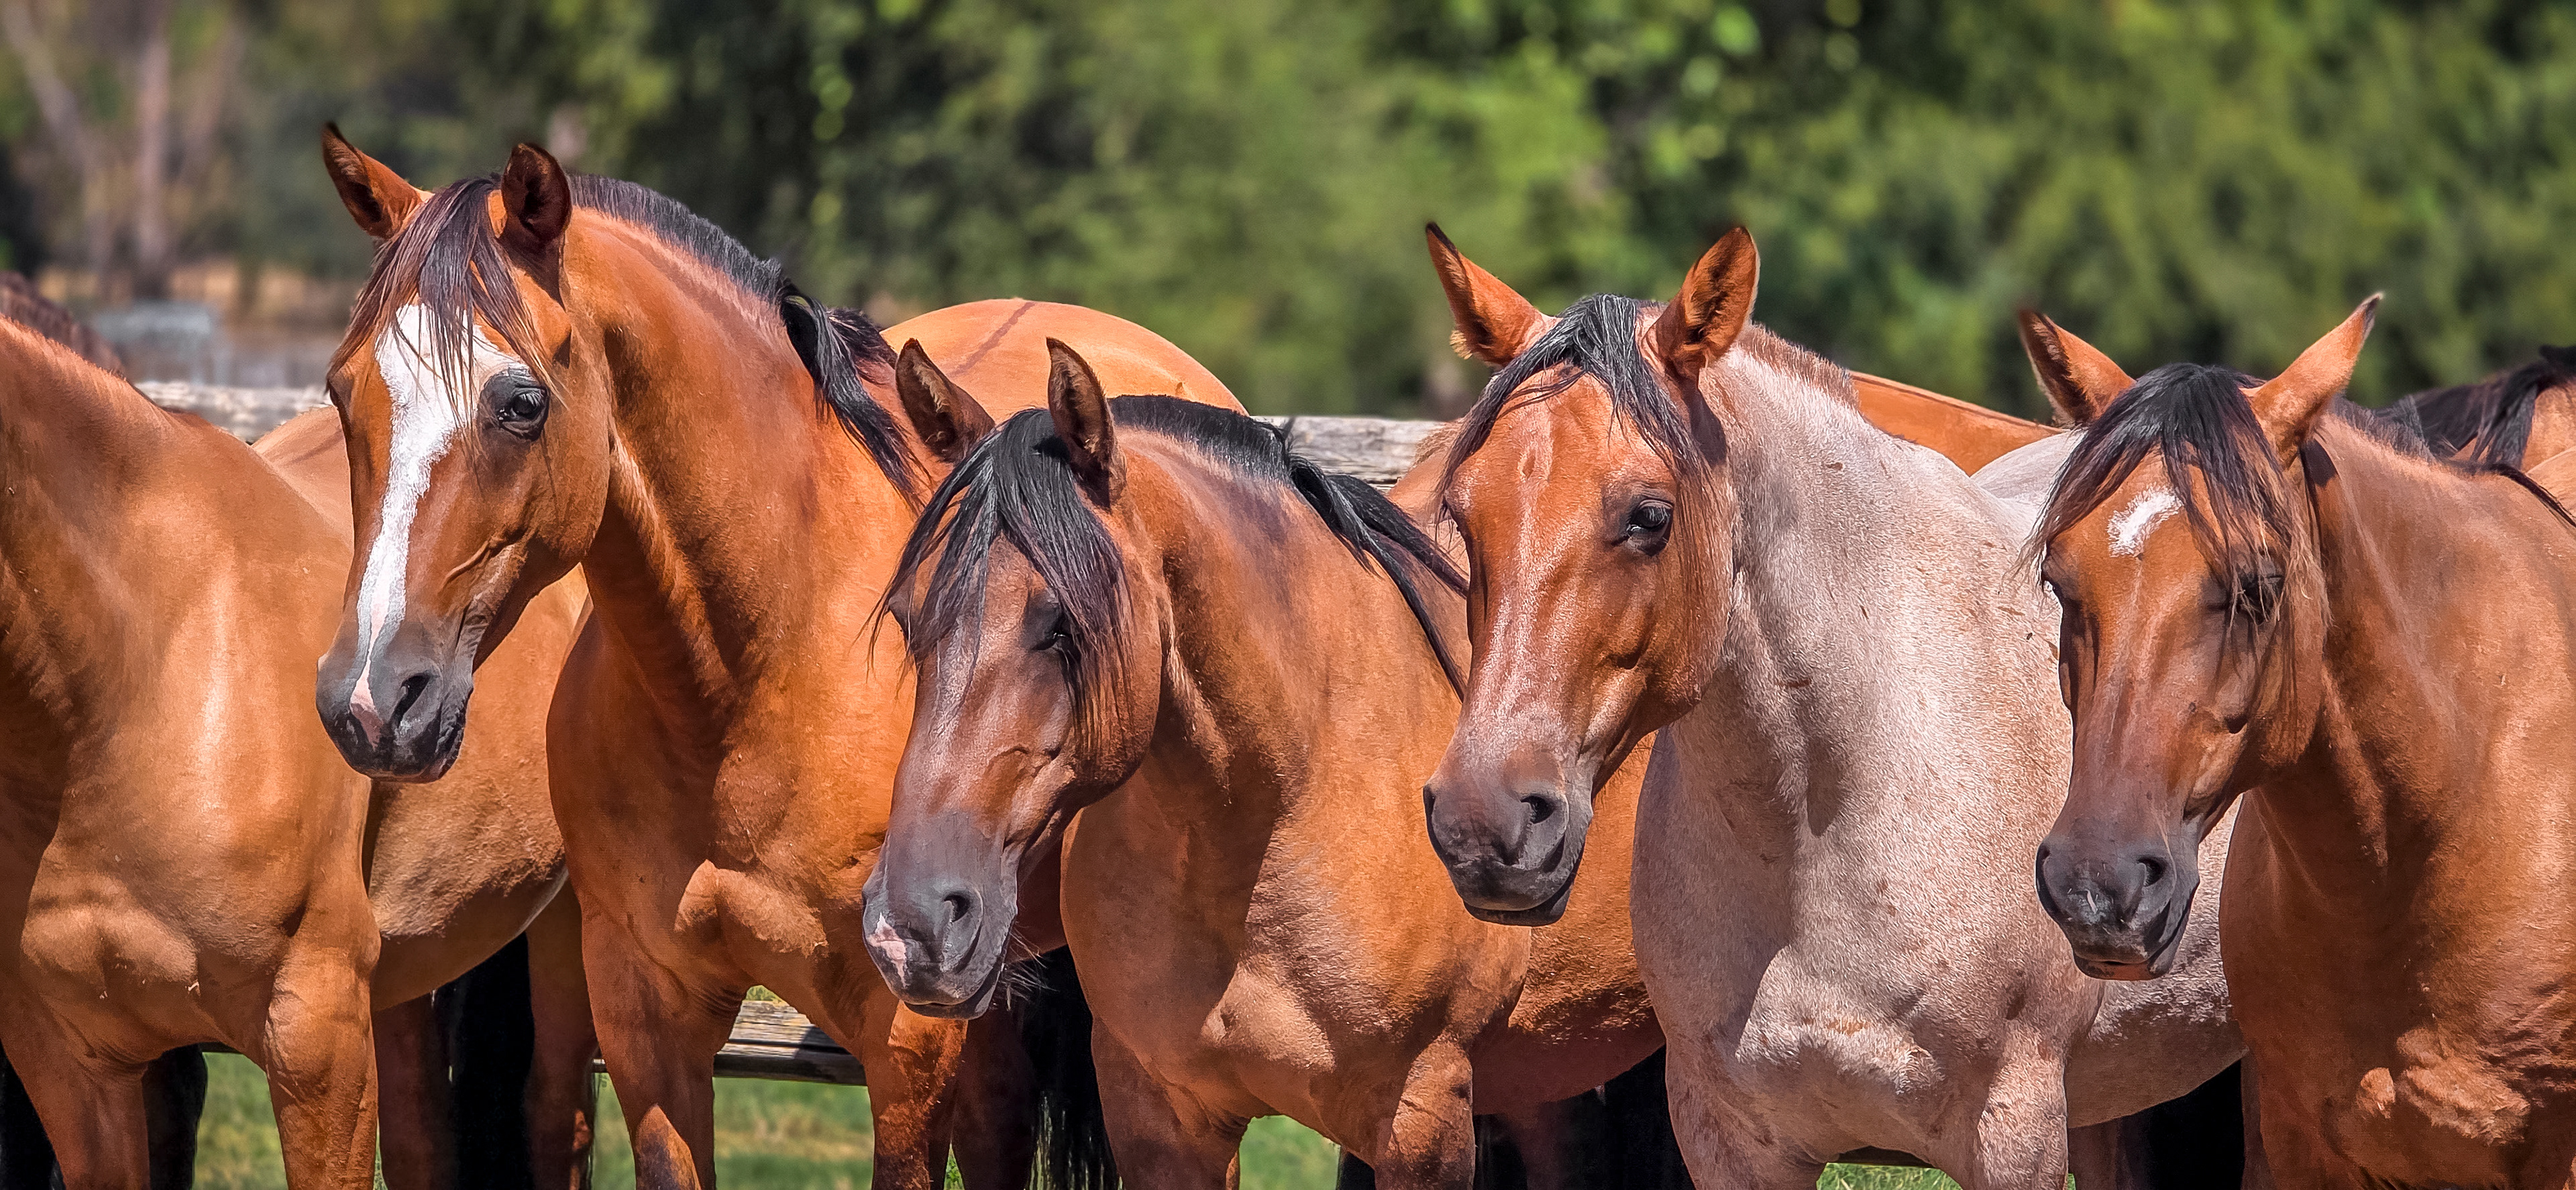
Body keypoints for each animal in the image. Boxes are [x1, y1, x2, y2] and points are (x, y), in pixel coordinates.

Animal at [313, 129, 1239, 1189]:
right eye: (344, 389)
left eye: (519, 403)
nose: (374, 700)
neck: (759, 678)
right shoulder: (646, 1011)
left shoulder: (905, 1037)